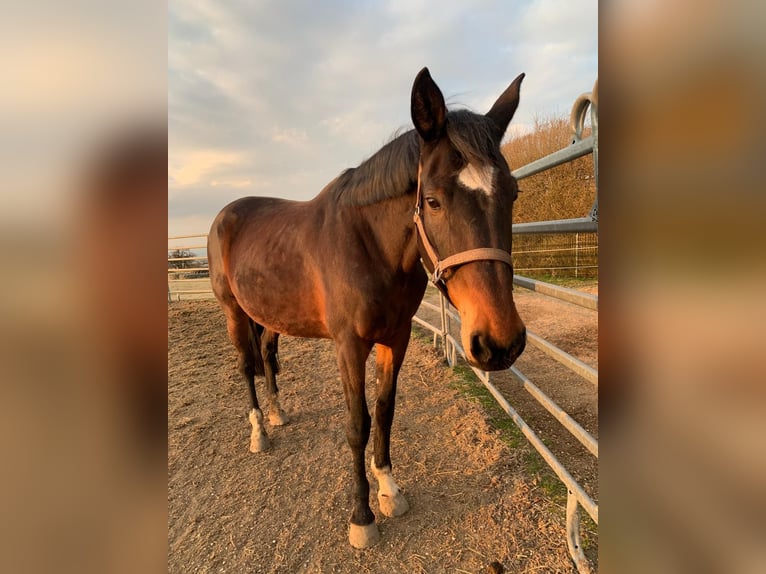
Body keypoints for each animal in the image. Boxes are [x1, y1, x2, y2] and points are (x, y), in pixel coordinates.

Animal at [207, 67, 527, 549]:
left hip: (270, 314)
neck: (369, 245)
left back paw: (278, 413)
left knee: (266, 353)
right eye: (432, 200)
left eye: (512, 193)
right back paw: (259, 430)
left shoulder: (396, 337)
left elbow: (386, 412)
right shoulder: (349, 345)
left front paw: (390, 491)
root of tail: (225, 214)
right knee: (246, 365)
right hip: (233, 312)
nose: (500, 342)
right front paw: (362, 517)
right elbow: (358, 423)